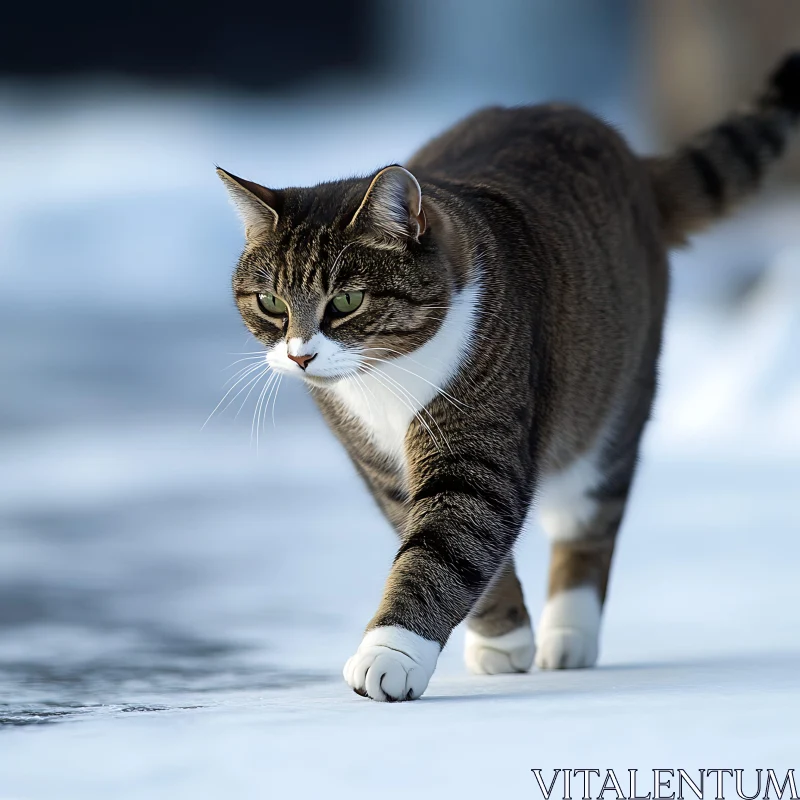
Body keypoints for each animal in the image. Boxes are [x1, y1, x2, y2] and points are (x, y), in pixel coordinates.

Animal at [217, 54, 800, 700]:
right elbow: (439, 539)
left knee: (589, 519)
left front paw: (389, 654)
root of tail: (629, 155)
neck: (389, 378)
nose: (300, 356)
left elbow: (449, 541)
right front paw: (502, 640)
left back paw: (570, 634)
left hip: (610, 410)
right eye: (271, 303)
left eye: (346, 300)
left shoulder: (480, 431)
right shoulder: (378, 462)